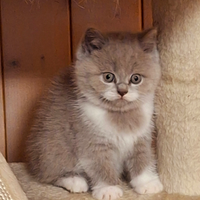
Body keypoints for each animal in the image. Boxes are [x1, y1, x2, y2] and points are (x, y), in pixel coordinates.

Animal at [26, 27, 162, 200]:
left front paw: (147, 182)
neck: (120, 116)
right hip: (51, 146)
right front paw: (109, 189)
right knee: (49, 173)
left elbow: (143, 157)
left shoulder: (141, 137)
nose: (122, 91)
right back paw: (74, 181)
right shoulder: (91, 141)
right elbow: (101, 165)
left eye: (136, 78)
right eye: (108, 77)